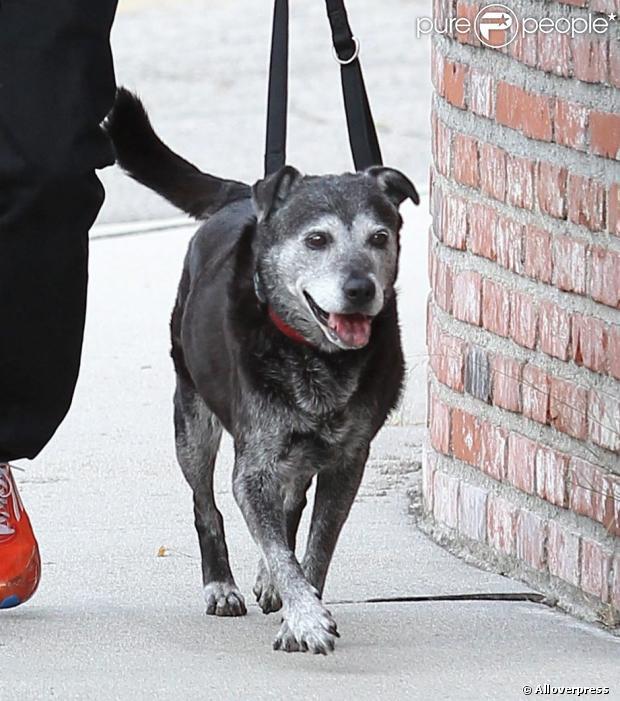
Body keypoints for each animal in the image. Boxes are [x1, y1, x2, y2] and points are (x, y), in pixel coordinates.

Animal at [105, 90, 416, 652]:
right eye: (317, 240)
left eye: (380, 237)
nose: (361, 289)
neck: (316, 356)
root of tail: (238, 199)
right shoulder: (252, 467)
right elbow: (272, 541)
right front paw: (306, 617)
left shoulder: (347, 463)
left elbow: (314, 547)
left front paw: (298, 606)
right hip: (192, 421)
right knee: (205, 505)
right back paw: (221, 585)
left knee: (290, 506)